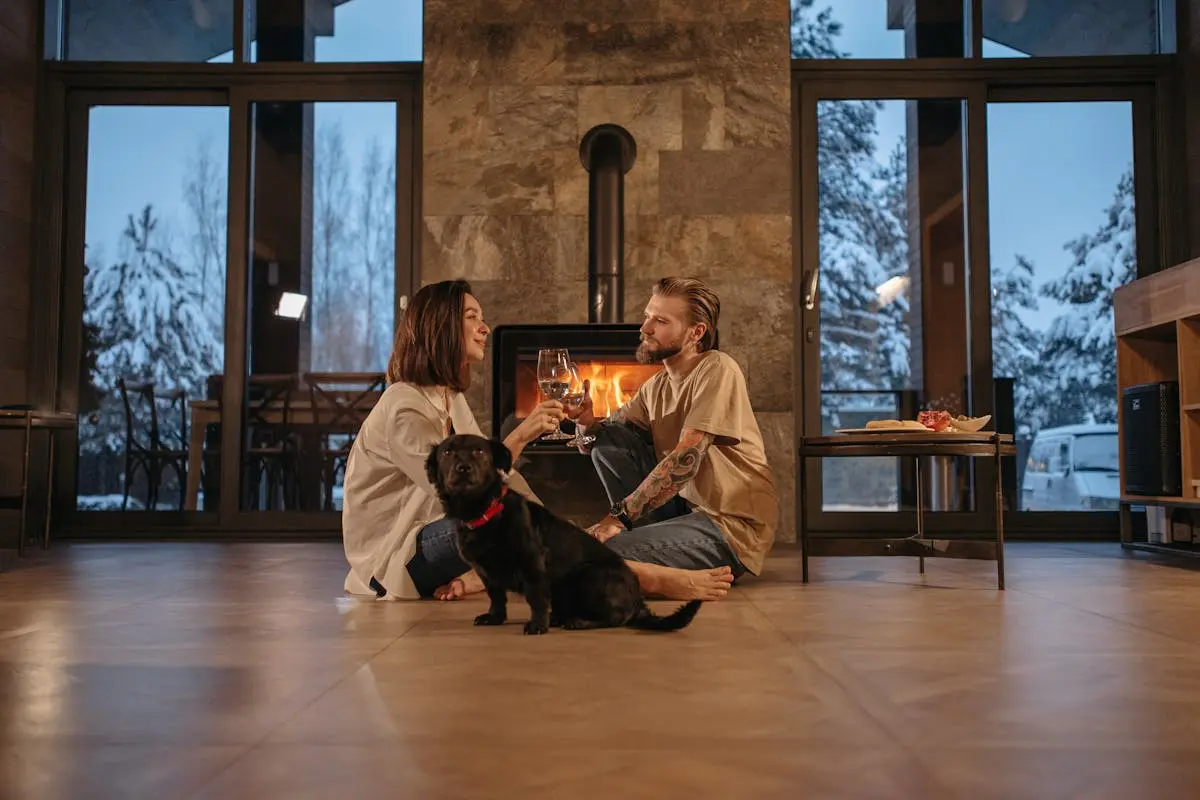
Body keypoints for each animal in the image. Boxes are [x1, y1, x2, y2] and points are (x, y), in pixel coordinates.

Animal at [427, 434, 700, 633]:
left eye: (479, 451)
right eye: (447, 453)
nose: (463, 468)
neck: (486, 512)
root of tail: (637, 602)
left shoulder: (532, 564)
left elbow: (536, 598)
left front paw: (538, 625)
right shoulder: (487, 572)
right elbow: (496, 598)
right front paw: (494, 618)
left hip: (588, 576)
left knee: (617, 617)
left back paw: (578, 621)